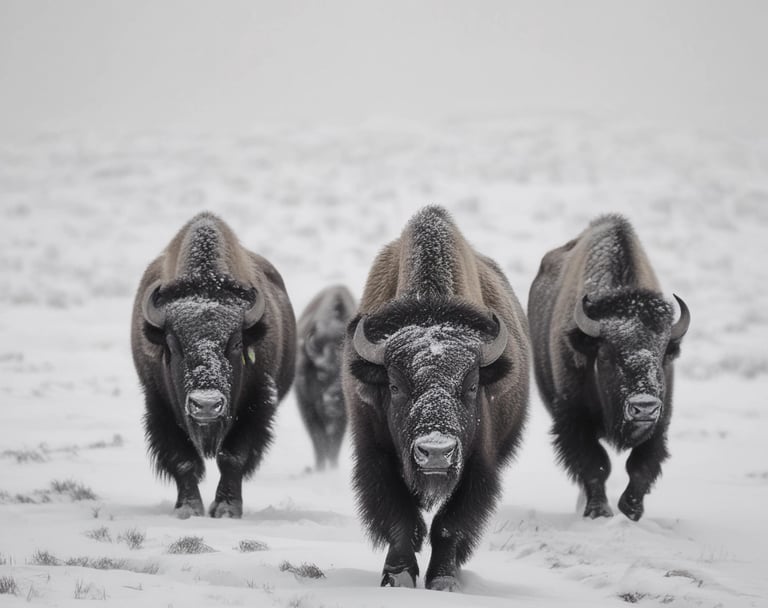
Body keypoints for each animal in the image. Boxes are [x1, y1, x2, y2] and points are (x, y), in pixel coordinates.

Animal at [130, 212, 296, 518]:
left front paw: (226, 509)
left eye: (236, 343)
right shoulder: (159, 405)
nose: (206, 405)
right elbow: (183, 460)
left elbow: (233, 457)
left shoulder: (255, 405)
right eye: (172, 343)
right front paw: (189, 509)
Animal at [295, 285, 357, 470]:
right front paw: (321, 468)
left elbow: (334, 443)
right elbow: (319, 440)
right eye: (321, 374)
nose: (334, 399)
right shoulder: (308, 407)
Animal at [343, 206, 530, 591]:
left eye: (472, 385)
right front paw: (397, 577)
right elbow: (400, 519)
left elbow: (449, 525)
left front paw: (444, 580)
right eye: (395, 386)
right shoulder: (376, 458)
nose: (436, 452)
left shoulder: (477, 464)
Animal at [528, 214, 690, 521]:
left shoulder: (660, 422)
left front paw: (631, 510)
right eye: (605, 354)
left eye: (663, 354)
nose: (643, 407)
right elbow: (596, 465)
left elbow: (640, 466)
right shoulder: (574, 419)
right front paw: (599, 512)